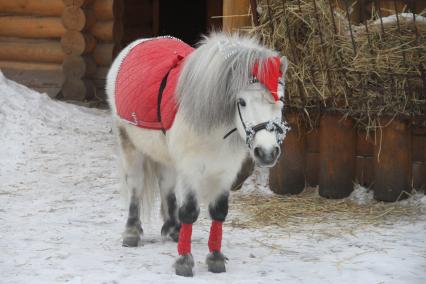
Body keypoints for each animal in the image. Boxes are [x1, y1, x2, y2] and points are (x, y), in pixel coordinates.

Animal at [106, 32, 290, 276]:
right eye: (242, 102)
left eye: (281, 100)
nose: (267, 152)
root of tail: (140, 42)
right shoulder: (191, 169)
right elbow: (190, 212)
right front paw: (184, 261)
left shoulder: (225, 171)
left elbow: (219, 211)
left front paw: (215, 258)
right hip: (129, 144)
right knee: (135, 186)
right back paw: (132, 233)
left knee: (166, 185)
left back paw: (173, 229)